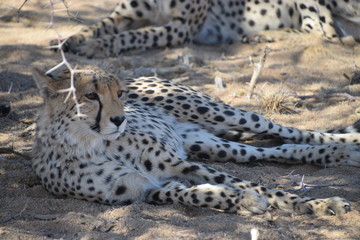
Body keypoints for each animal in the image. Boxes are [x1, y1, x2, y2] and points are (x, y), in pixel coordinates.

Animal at [31, 66, 360, 217]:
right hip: (208, 143)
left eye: (119, 93)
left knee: (284, 129)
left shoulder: (180, 163)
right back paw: (336, 154)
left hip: (216, 112)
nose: (120, 120)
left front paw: (318, 203)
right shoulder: (145, 190)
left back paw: (346, 143)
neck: (91, 143)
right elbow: (195, 195)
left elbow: (261, 186)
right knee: (271, 149)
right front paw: (243, 201)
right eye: (90, 96)